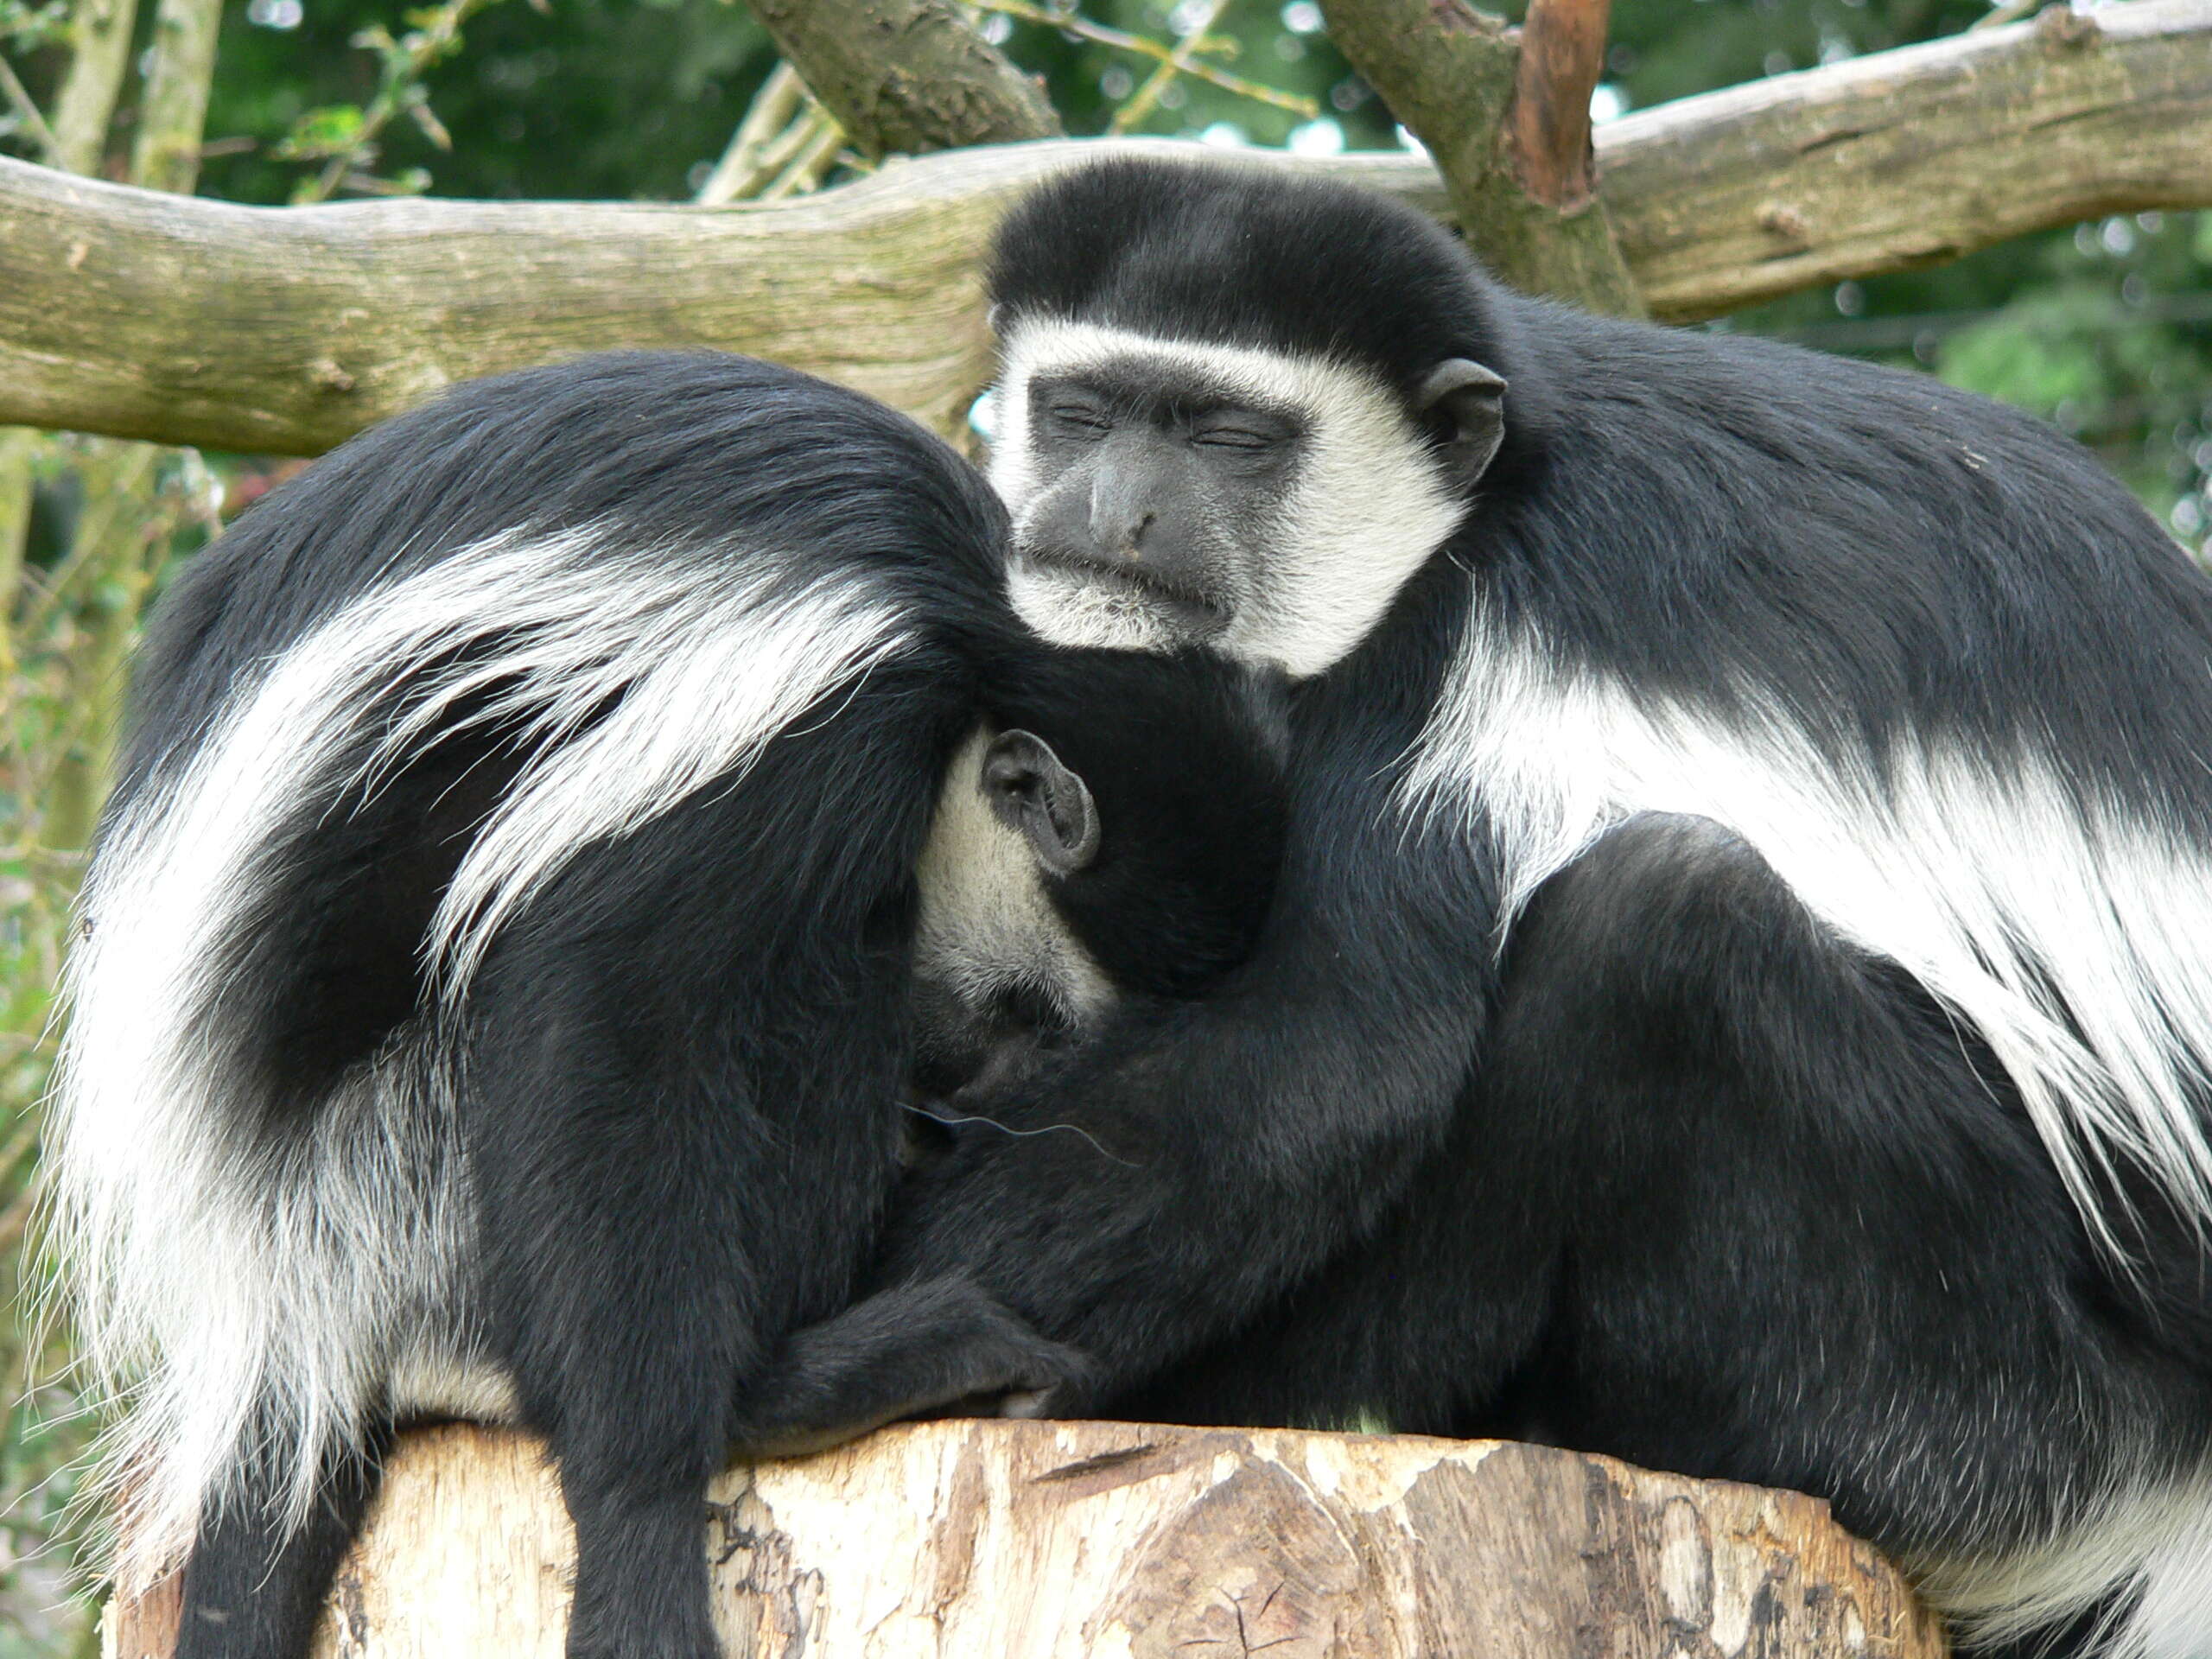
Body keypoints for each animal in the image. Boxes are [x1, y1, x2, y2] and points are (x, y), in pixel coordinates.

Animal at [52, 352, 1292, 1659]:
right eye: (1027, 1018)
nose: (956, 1109)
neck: (984, 627)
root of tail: (278, 1307)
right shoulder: (818, 718)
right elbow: (601, 1007)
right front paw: (641, 1521)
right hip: (407, 1181)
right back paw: (796, 1384)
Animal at [747, 159, 2212, 1659]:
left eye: (1232, 438)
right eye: (1083, 411)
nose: (1105, 514)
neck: (1477, 495)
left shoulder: (1465, 658)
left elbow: (1322, 1065)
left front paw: (818, 1351)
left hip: (2004, 1412)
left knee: (1659, 924)